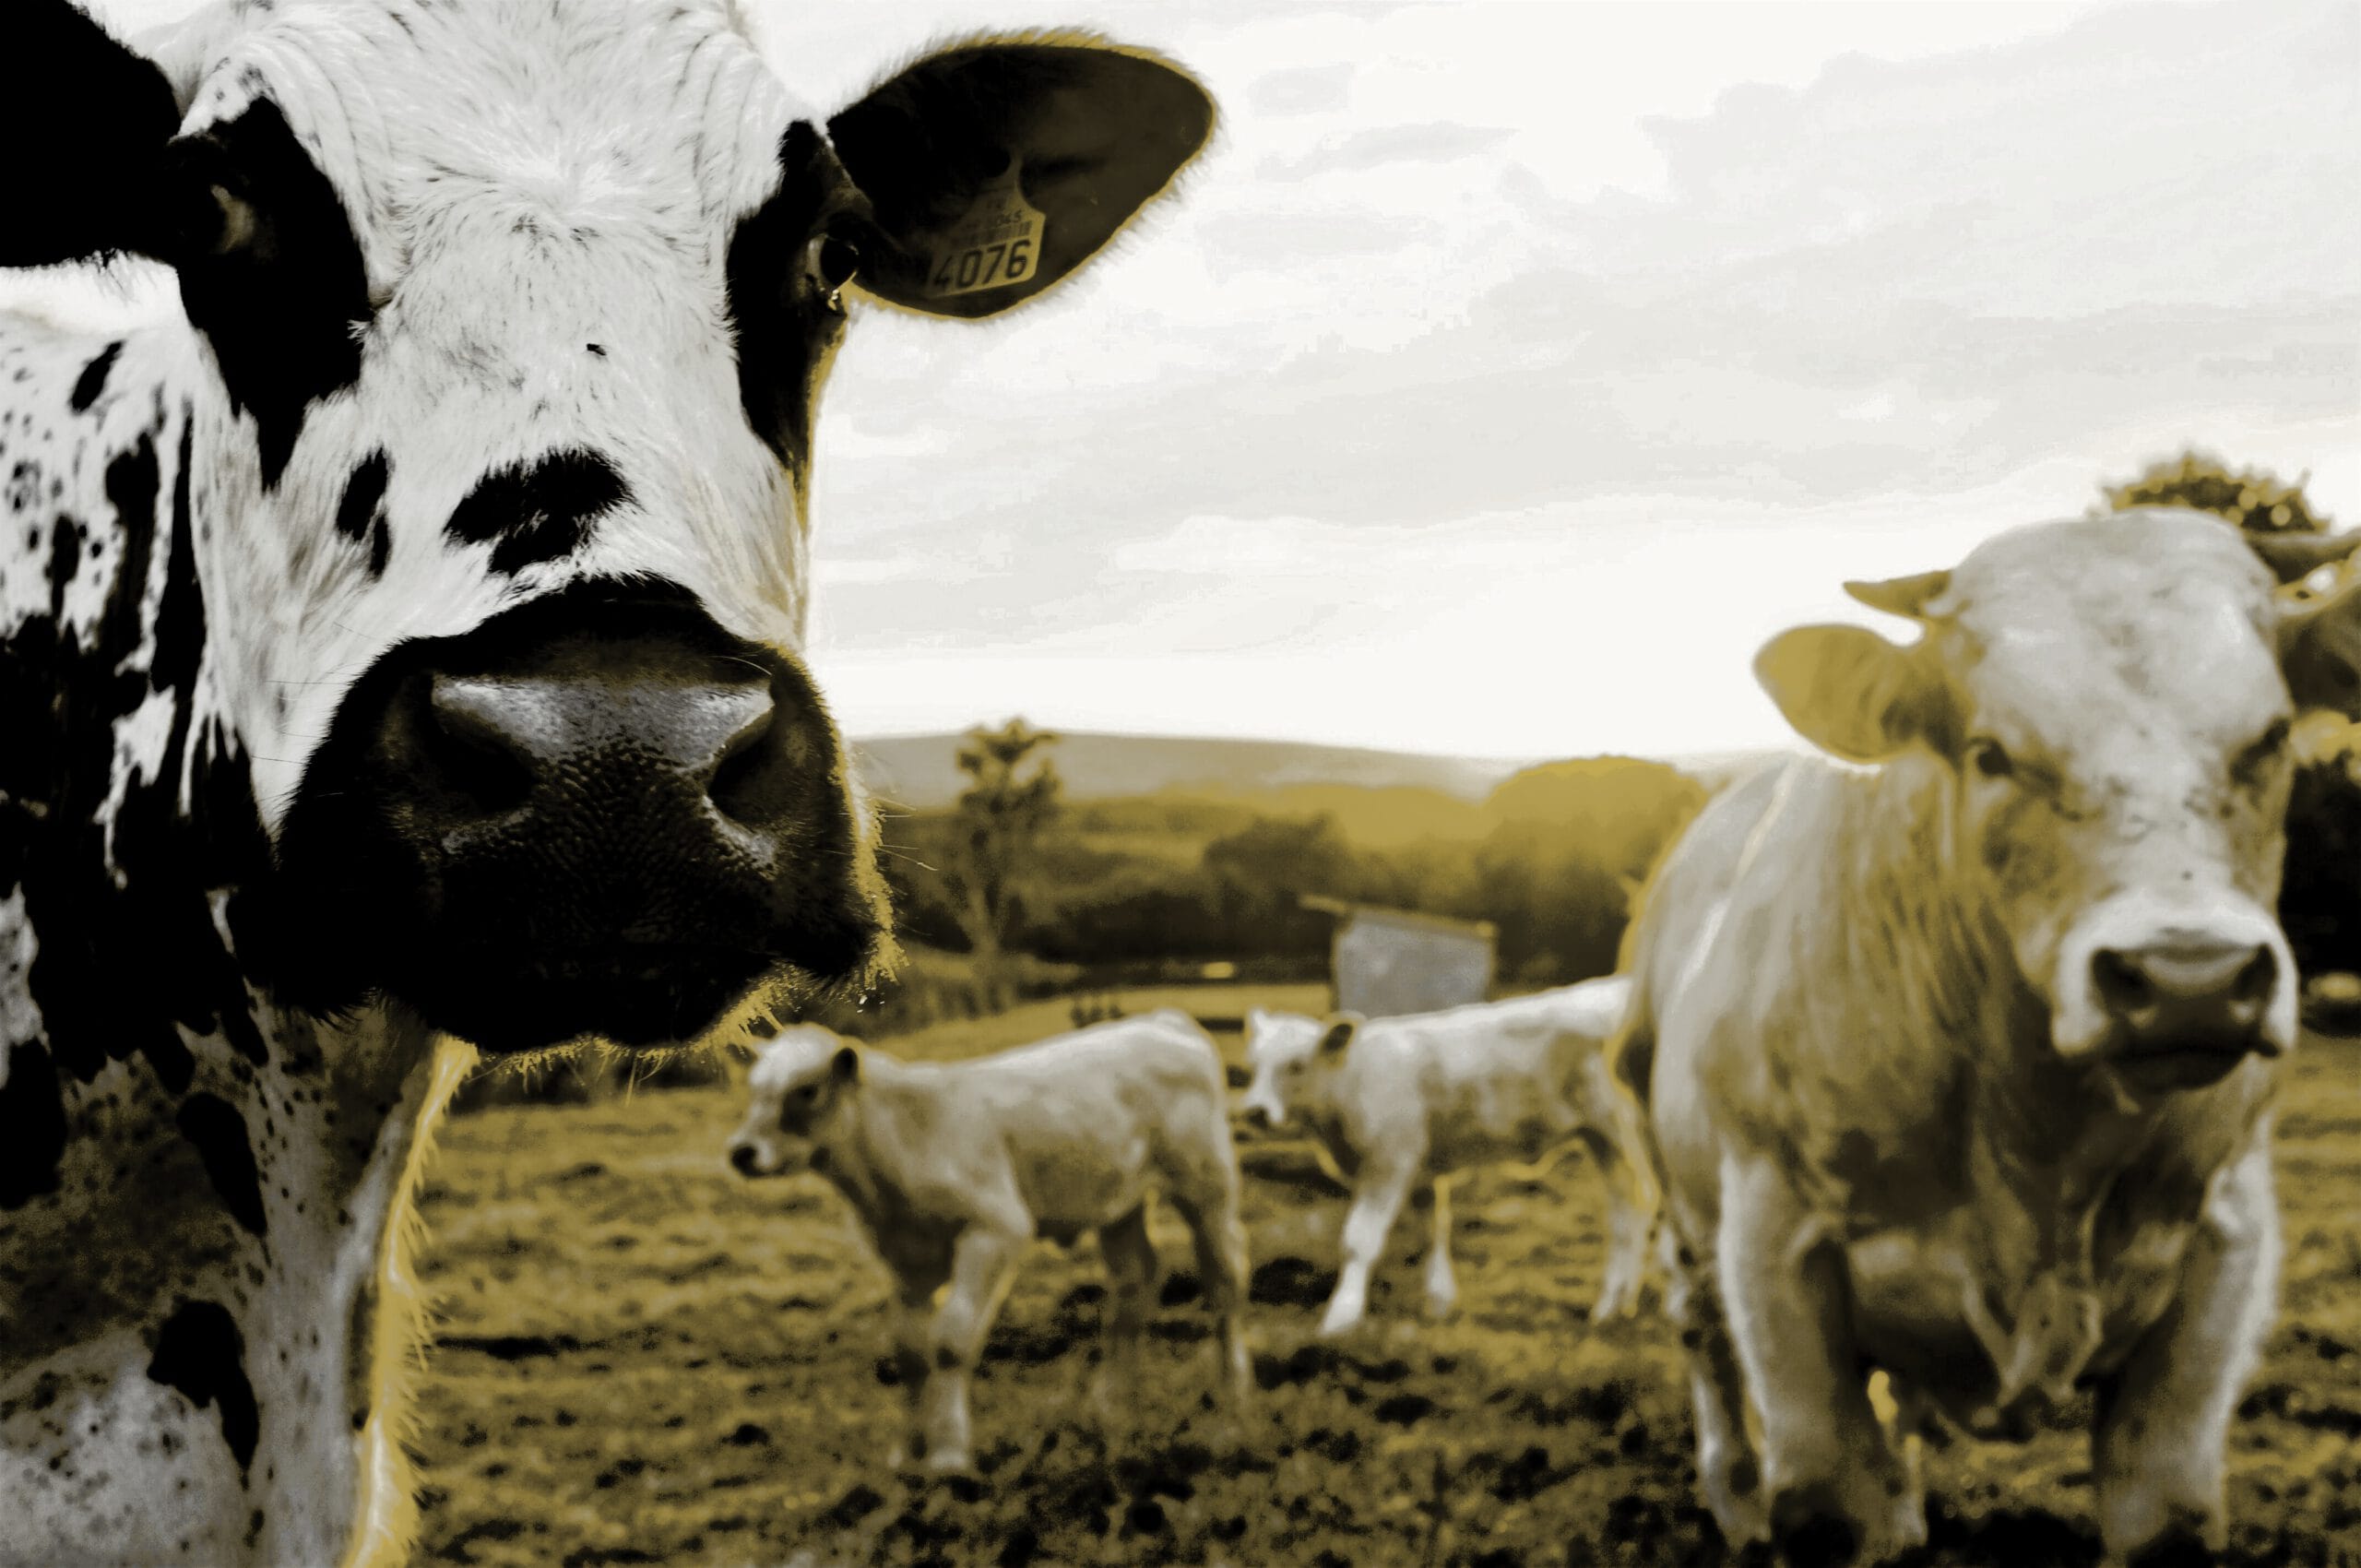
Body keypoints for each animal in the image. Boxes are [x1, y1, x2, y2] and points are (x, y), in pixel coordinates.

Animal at [725, 1014, 1253, 1475]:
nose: (742, 1152)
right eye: (754, 1088)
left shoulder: (996, 1228)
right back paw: (1112, 1408)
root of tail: (1162, 1021)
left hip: (1206, 1184)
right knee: (1134, 1280)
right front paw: (908, 1453)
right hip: (1117, 1201)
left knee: (1224, 1280)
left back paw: (1232, 1410)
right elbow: (909, 1350)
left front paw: (949, 1454)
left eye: (807, 1090)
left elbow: (950, 1341)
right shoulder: (905, 1258)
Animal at [1238, 975, 1655, 1338]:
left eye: (1296, 1065)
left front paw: (1341, 1317)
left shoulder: (1389, 1161)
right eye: (1253, 1065)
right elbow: (1432, 1230)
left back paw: (1618, 1305)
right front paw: (1438, 1301)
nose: (1255, 1111)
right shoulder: (1422, 1168)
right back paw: (1618, 1305)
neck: (1353, 1082)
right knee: (1627, 1209)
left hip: (1621, 1130)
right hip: (1604, 1139)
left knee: (1642, 1203)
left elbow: (1359, 1240)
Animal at [1612, 510, 2361, 1564]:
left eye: (2270, 737)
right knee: (1703, 1342)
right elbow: (1830, 1503)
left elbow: (2164, 1509)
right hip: (1676, 1204)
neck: (2038, 1145)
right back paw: (1734, 1498)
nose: (2191, 980)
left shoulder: (2223, 1244)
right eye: (1991, 751)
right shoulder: (1775, 1249)